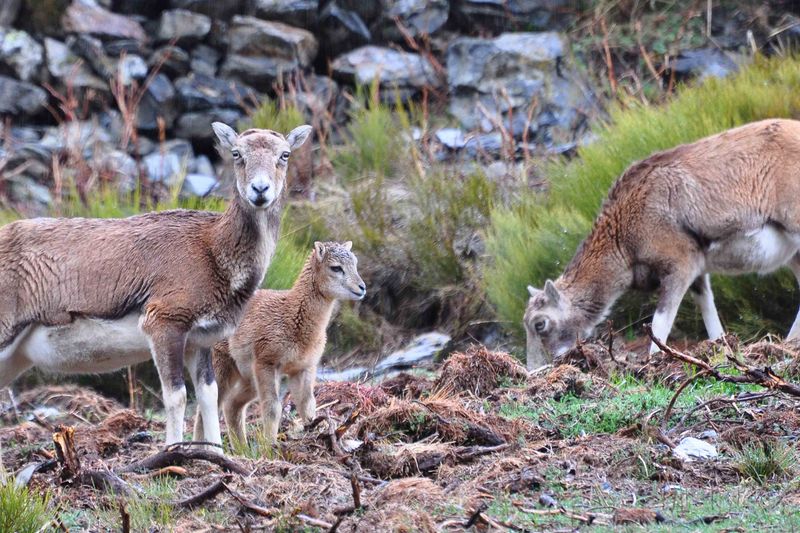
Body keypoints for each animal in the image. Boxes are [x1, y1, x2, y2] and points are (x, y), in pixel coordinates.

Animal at [208, 239, 368, 442]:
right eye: (336, 268)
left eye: (355, 263)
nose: (362, 287)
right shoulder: (266, 364)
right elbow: (272, 408)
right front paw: (270, 445)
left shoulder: (303, 368)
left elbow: (307, 404)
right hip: (223, 367)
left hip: (247, 378)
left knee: (231, 405)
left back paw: (241, 446)